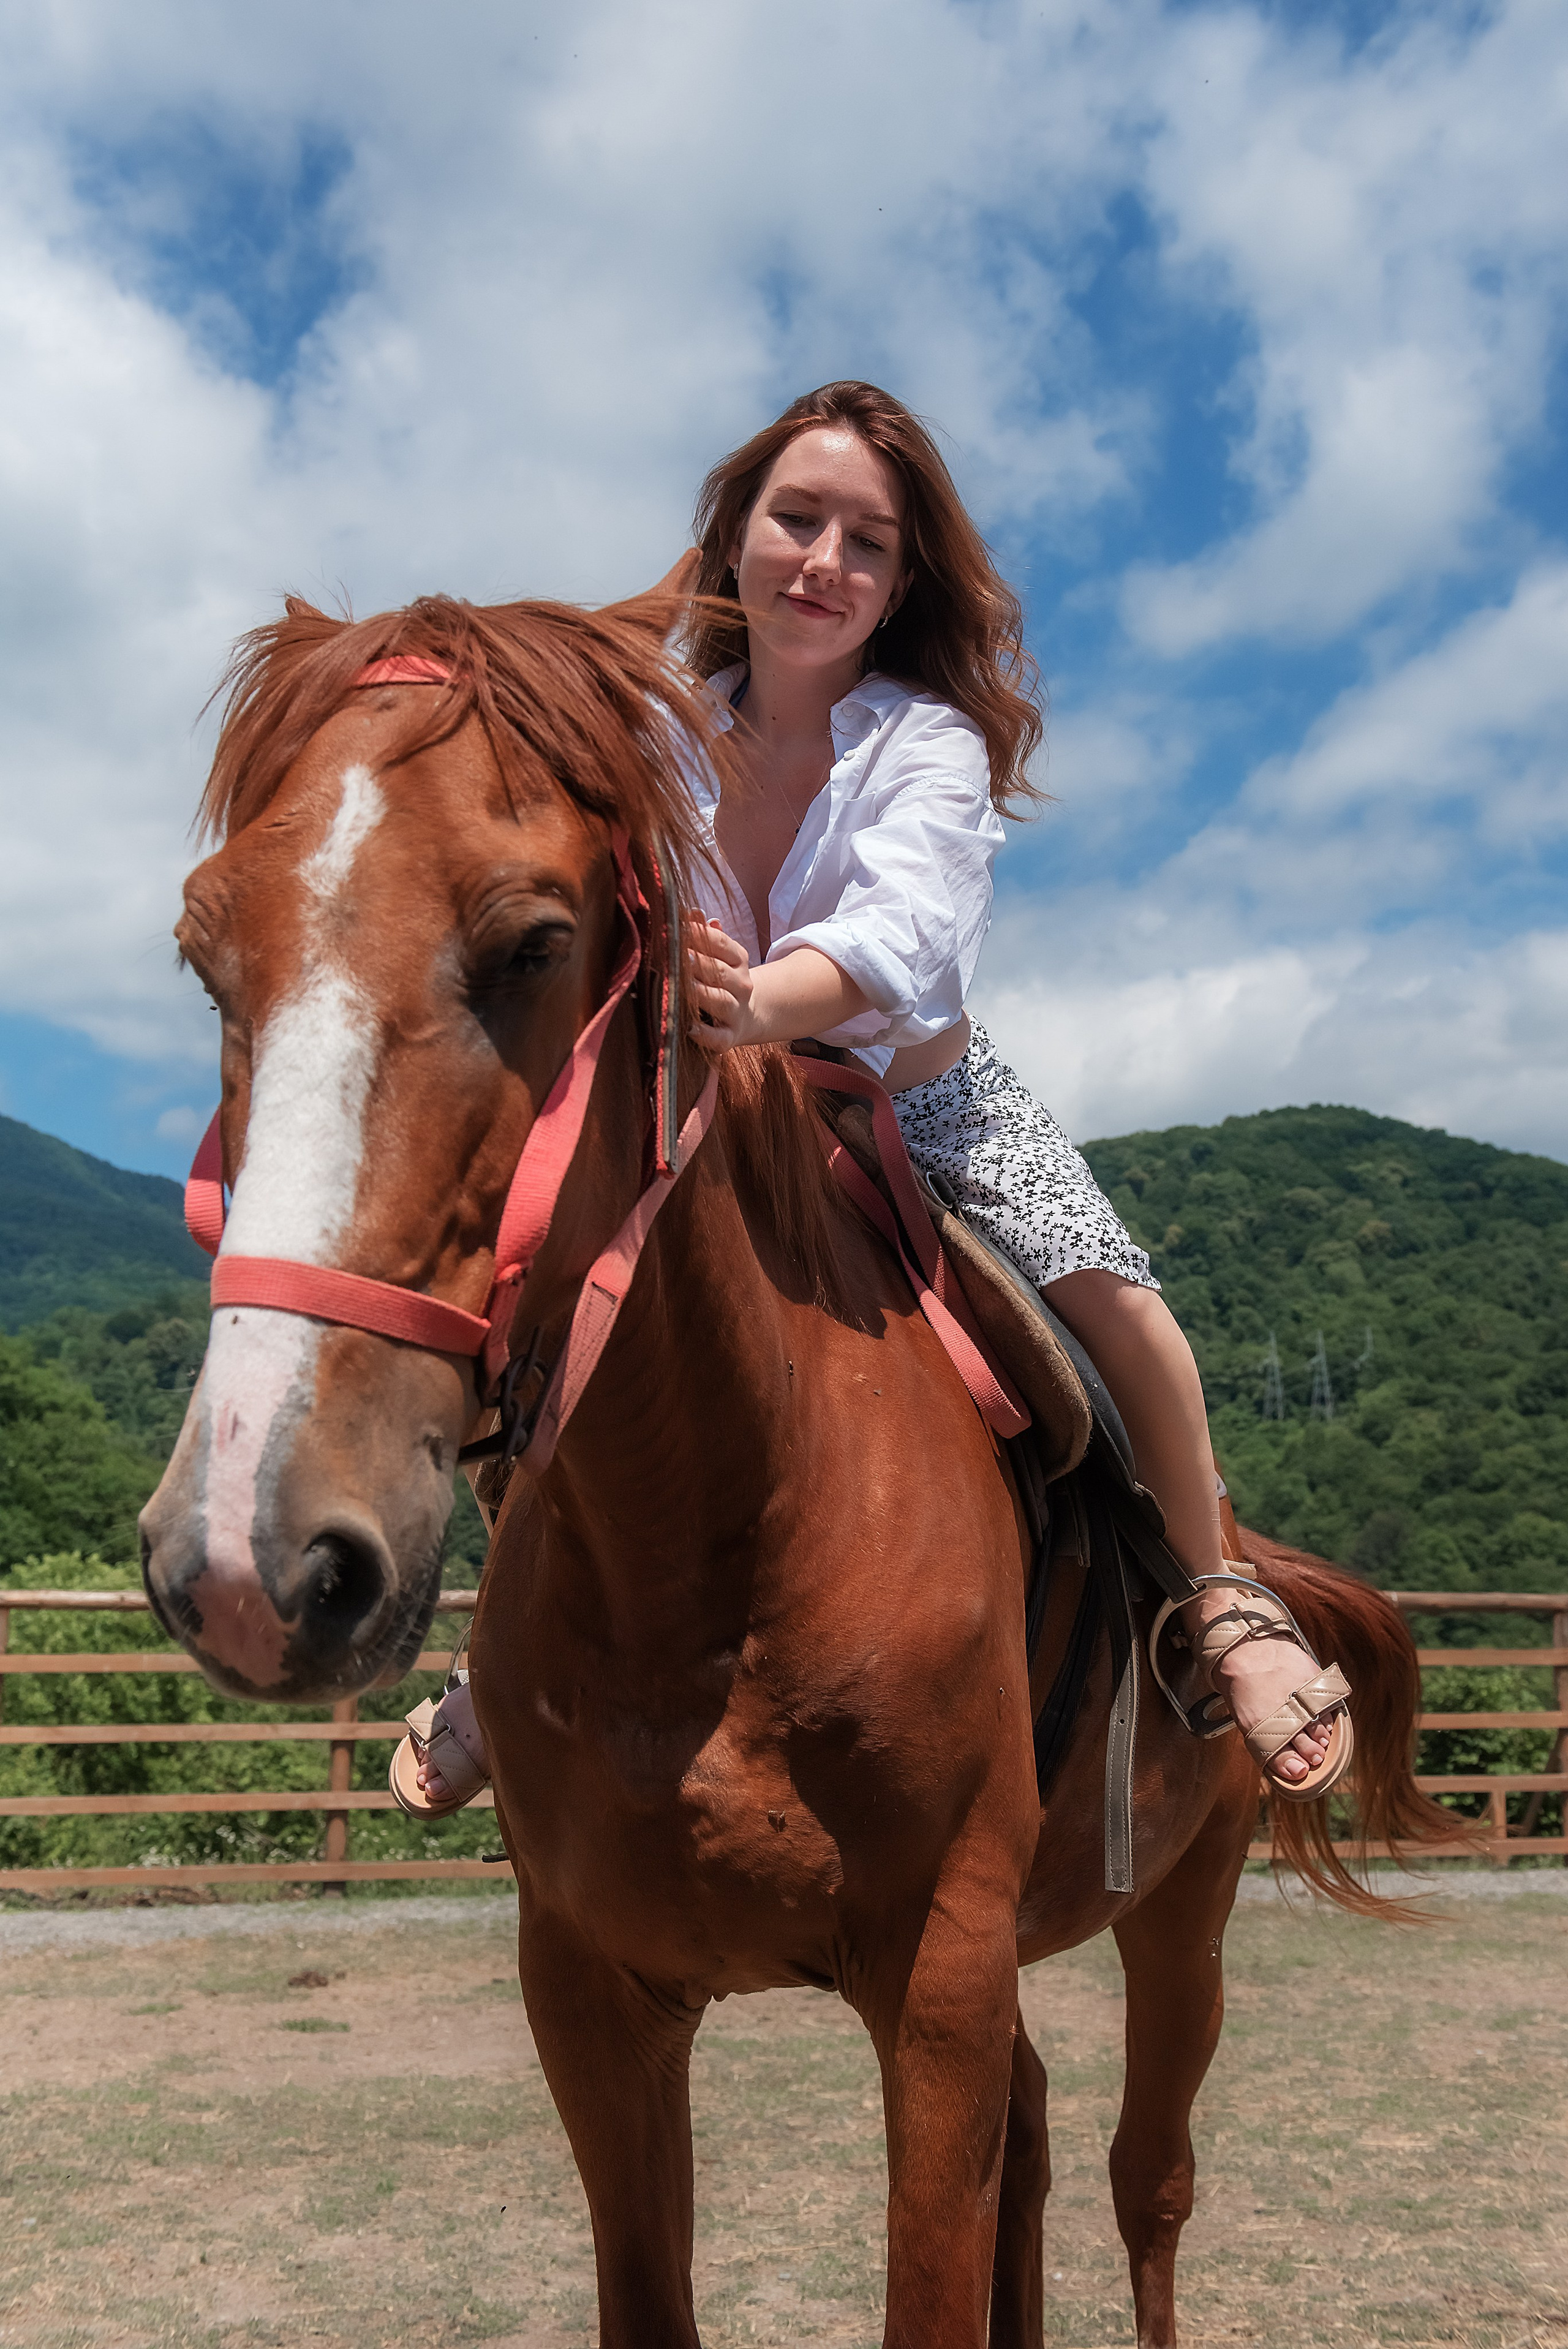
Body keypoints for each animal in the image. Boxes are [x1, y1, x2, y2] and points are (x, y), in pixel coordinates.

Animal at [140, 587, 1454, 2349]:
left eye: (536, 941)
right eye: (207, 954)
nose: (250, 1554)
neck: (717, 1547)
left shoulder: (941, 1973)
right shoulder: (593, 1993)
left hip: (1182, 1916)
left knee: (1146, 2180)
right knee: (1042, 2139)